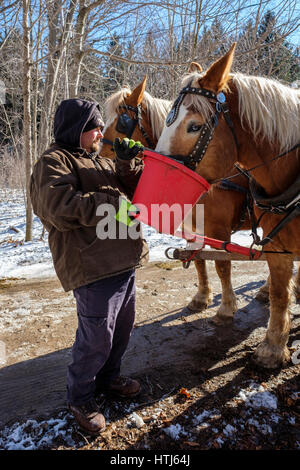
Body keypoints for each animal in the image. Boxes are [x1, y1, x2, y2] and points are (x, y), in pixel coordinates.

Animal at [101, 79, 276, 324]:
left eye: (122, 122)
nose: (96, 153)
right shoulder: (192, 229)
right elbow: (199, 261)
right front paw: (201, 298)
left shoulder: (219, 230)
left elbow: (222, 264)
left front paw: (226, 307)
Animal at [156, 42, 298, 370]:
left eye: (194, 126)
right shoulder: (275, 246)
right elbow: (278, 292)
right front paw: (273, 347)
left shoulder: (218, 228)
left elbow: (222, 264)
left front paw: (225, 309)